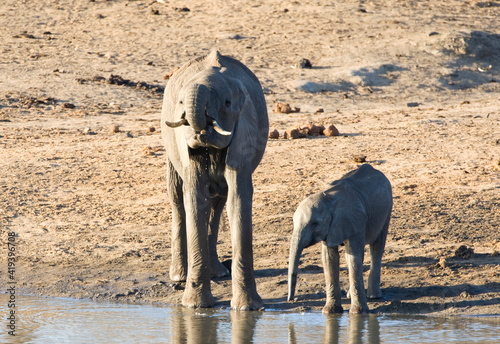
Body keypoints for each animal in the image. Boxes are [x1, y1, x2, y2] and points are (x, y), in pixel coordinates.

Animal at [160, 50, 270, 310]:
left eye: (227, 103)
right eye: (180, 103)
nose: (201, 130)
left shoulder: (243, 136)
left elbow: (238, 201)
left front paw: (248, 308)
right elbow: (195, 201)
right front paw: (195, 307)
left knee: (219, 204)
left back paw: (218, 272)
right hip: (170, 150)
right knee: (177, 199)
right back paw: (179, 276)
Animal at [288, 165, 392, 314]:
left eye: (314, 224)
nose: (291, 300)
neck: (327, 198)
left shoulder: (354, 220)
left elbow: (353, 257)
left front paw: (358, 313)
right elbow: (329, 258)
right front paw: (330, 312)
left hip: (387, 210)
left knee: (377, 248)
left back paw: (374, 296)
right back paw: (349, 295)